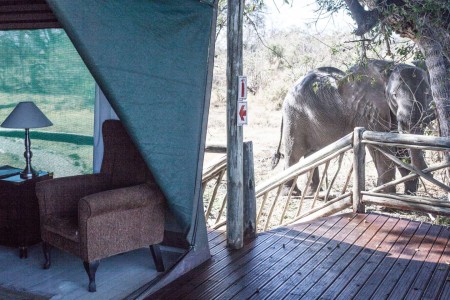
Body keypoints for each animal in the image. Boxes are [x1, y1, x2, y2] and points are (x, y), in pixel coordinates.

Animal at [272, 60, 434, 196]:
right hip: (294, 116)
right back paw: (292, 193)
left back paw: (314, 192)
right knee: (294, 153)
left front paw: (408, 193)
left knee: (312, 155)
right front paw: (386, 196)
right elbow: (381, 146)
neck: (387, 68)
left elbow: (398, 146)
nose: (429, 174)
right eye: (394, 95)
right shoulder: (368, 109)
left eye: (428, 94)